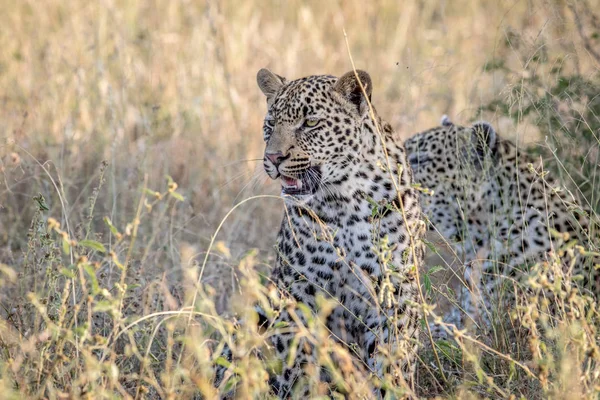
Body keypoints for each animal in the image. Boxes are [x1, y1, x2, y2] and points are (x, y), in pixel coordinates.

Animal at [216, 69, 426, 396]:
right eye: (271, 123)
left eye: (311, 123)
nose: (274, 158)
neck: (345, 201)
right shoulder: (299, 289)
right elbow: (299, 361)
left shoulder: (395, 290)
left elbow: (394, 359)